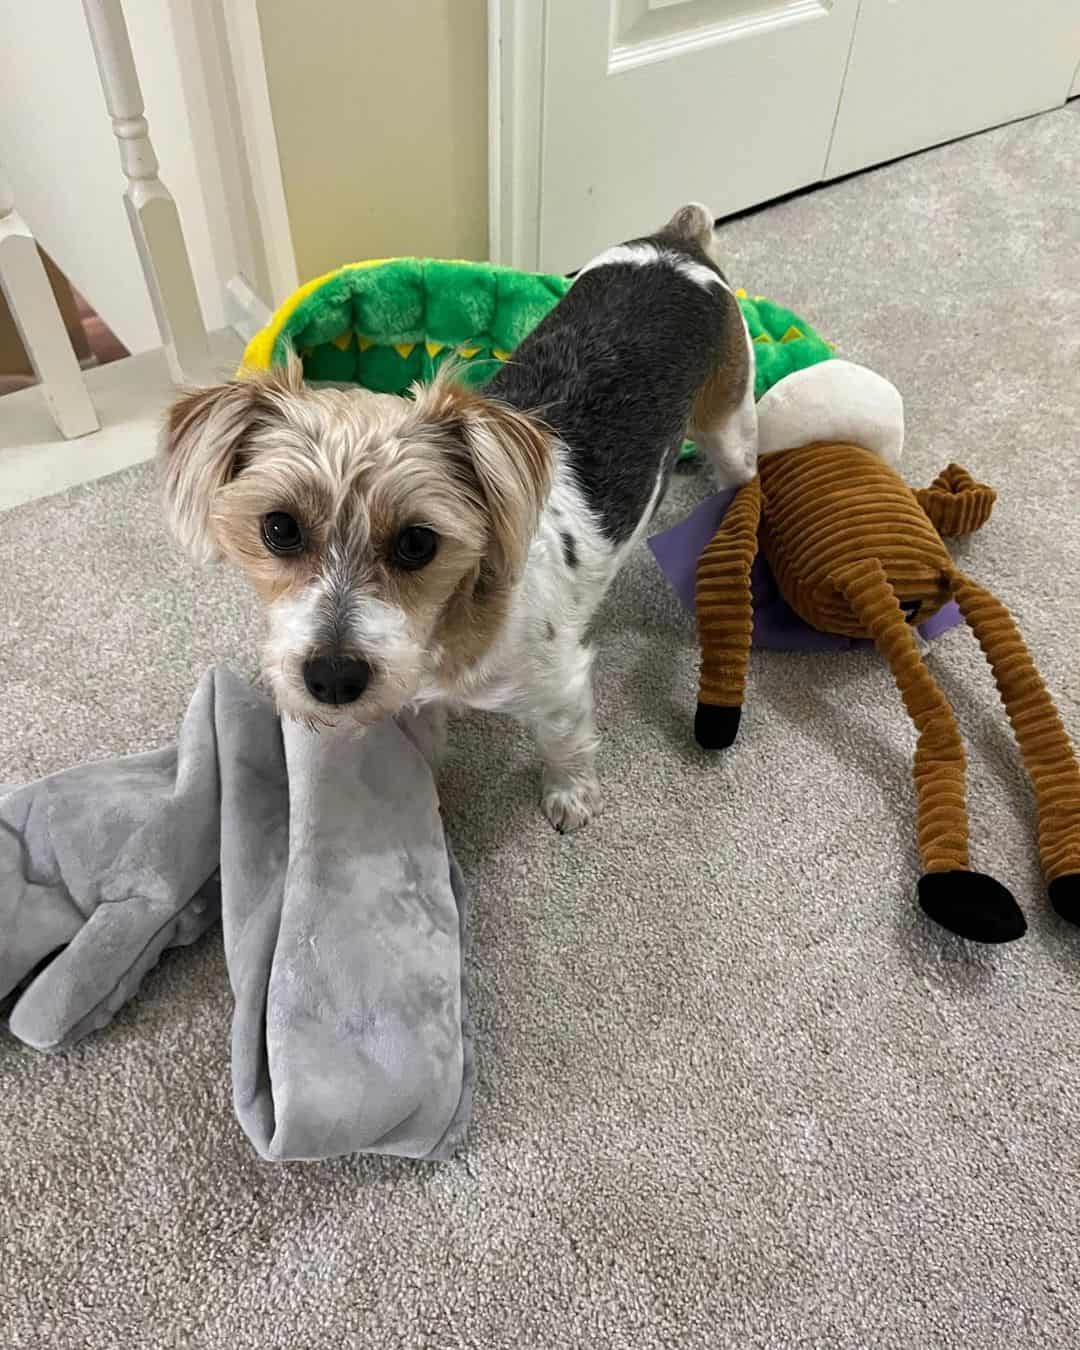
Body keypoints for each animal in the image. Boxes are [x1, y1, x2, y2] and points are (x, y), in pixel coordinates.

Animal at [160, 199, 756, 831]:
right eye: (279, 528)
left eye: (418, 543)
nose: (333, 678)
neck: (446, 628)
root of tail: (676, 244)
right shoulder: (409, 699)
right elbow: (422, 755)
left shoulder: (559, 684)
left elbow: (564, 742)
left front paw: (571, 795)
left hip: (729, 420)